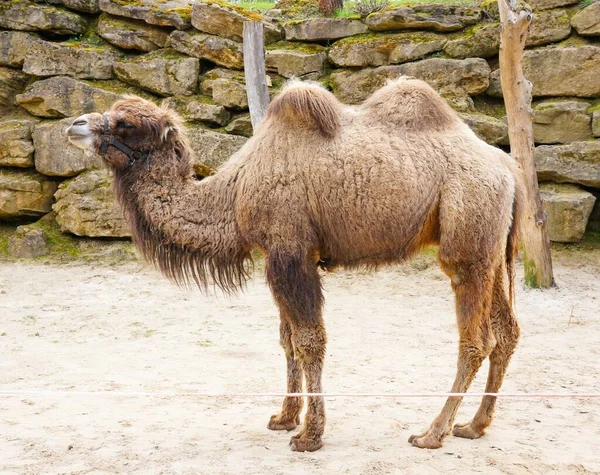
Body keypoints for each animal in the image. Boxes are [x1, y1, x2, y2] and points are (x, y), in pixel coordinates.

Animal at [67, 78, 524, 454]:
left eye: (125, 123)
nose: (74, 124)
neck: (232, 195)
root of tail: (508, 167)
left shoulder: (292, 252)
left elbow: (308, 341)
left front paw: (310, 434)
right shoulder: (276, 254)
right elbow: (287, 339)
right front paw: (284, 418)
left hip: (468, 237)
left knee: (476, 339)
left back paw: (432, 433)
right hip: (493, 247)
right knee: (507, 331)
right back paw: (474, 425)